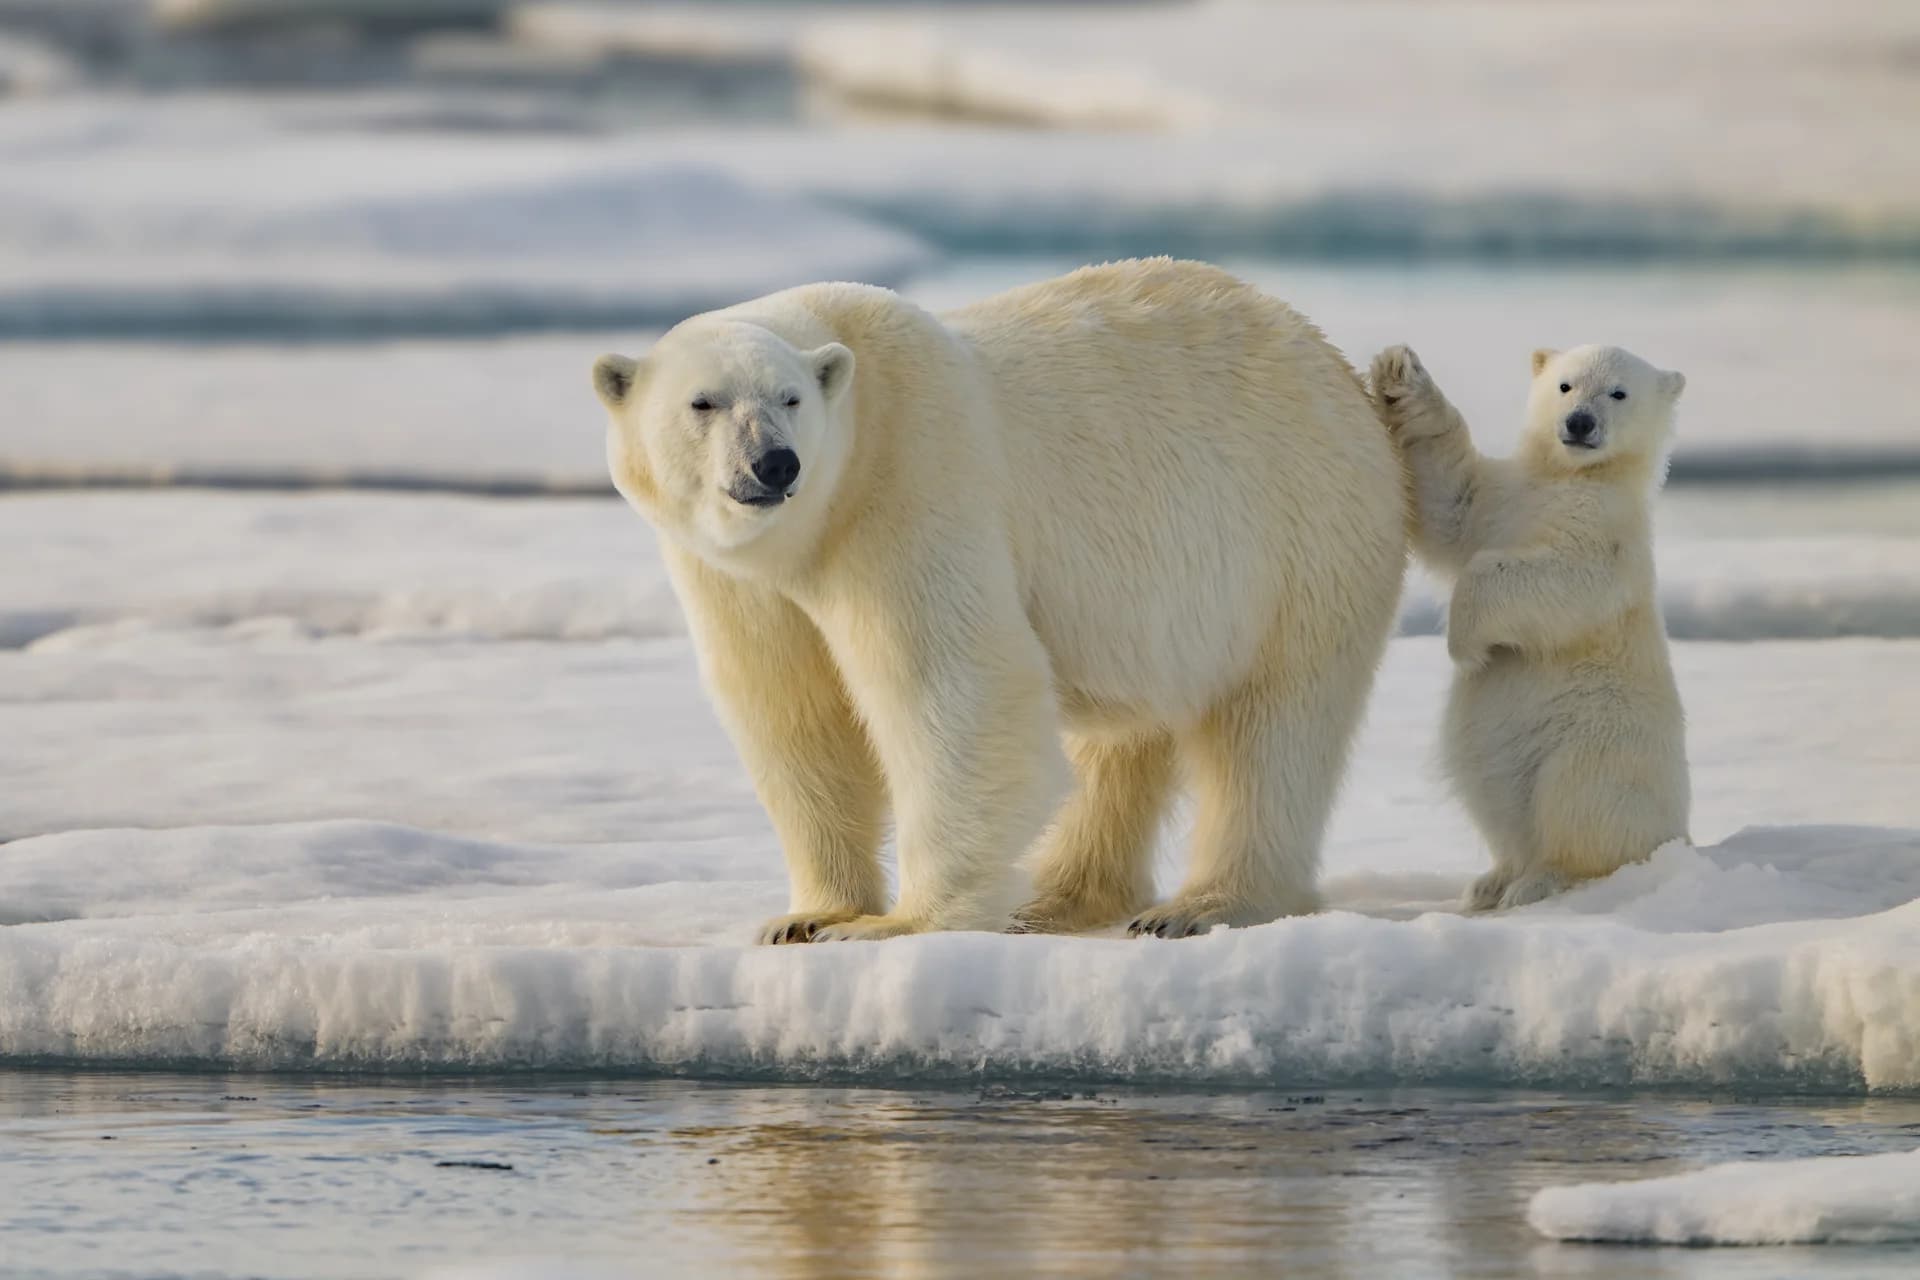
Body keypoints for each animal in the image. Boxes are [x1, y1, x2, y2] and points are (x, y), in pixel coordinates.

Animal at [593, 259, 1407, 943]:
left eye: (789, 398)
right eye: (704, 402)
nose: (774, 463)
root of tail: (1336, 366)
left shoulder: (911, 483)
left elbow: (952, 689)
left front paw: (894, 925)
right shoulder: (738, 580)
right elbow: (794, 713)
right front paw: (808, 916)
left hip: (1300, 538)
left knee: (1271, 731)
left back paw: (1203, 905)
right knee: (1118, 743)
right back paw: (1056, 899)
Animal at [1368, 342, 1691, 911]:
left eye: (1618, 392)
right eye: (1564, 384)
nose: (1579, 423)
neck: (1570, 478)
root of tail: (1680, 839)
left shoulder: (1605, 533)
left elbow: (1560, 576)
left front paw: (1465, 644)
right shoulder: (1507, 495)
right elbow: (1454, 504)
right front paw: (1400, 372)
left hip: (1602, 739)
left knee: (1579, 802)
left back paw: (1541, 881)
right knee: (1492, 790)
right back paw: (1492, 881)